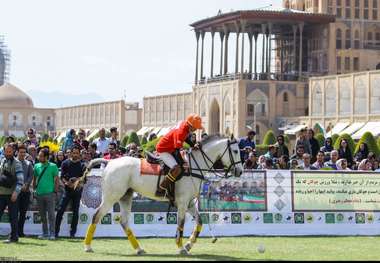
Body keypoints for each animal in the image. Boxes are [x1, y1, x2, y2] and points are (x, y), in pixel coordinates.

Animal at [80, 136, 243, 256]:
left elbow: (200, 222)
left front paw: (189, 245)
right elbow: (181, 224)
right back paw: (87, 247)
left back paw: (139, 249)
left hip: (125, 196)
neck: (193, 166)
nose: (240, 171)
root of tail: (109, 162)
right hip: (111, 196)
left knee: (124, 221)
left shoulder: (190, 203)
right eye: (235, 151)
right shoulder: (182, 202)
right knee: (96, 216)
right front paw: (181, 247)